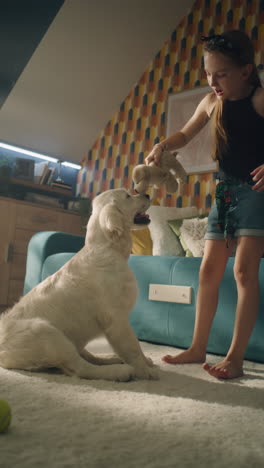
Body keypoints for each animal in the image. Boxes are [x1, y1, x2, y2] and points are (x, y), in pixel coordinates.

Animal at [0, 188, 158, 382]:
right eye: (128, 196)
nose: (147, 195)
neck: (107, 248)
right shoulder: (117, 320)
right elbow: (133, 346)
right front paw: (144, 370)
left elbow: (135, 346)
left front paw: (146, 362)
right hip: (46, 333)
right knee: (79, 368)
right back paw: (120, 371)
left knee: (86, 357)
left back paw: (111, 359)